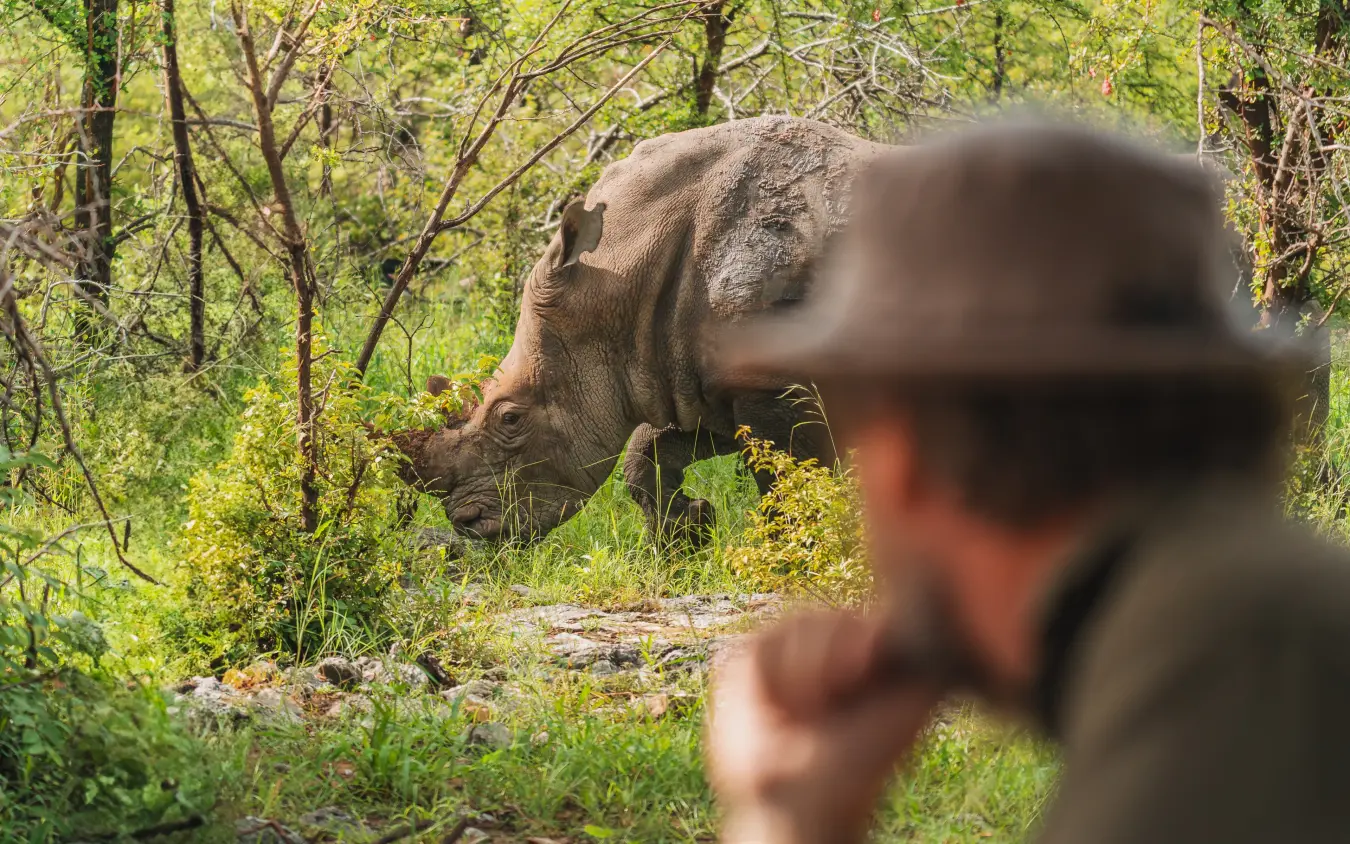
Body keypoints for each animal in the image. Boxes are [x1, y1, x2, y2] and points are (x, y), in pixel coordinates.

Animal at [393, 116, 885, 541]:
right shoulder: (696, 380)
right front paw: (690, 531)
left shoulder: (771, 382)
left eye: (510, 418)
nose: (468, 525)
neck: (617, 277)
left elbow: (789, 484)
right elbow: (643, 457)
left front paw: (790, 561)